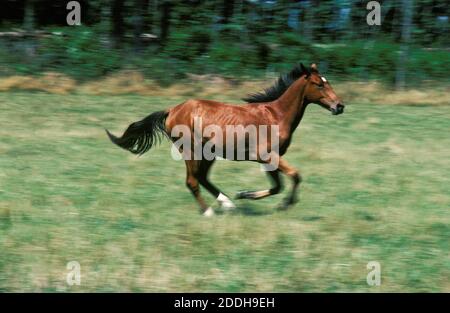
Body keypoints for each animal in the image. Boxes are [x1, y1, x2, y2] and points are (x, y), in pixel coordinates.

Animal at [106, 63, 344, 214]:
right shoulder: (267, 155)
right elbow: (295, 176)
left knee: (202, 178)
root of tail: (172, 110)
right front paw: (285, 205)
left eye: (328, 82)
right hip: (191, 150)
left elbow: (278, 186)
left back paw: (228, 203)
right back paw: (209, 212)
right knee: (192, 181)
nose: (339, 106)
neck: (276, 114)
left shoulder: (270, 158)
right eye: (319, 84)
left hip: (208, 154)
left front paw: (244, 194)